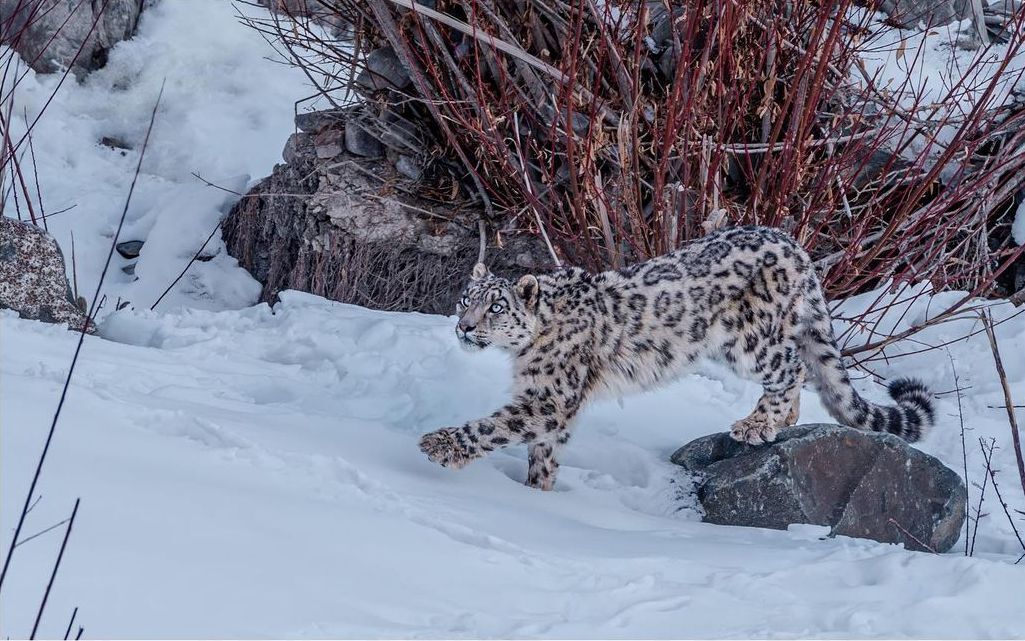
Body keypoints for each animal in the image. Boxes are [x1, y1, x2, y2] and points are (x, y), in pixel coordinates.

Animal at [418, 224, 938, 490]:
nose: (464, 327)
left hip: (748, 340)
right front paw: (536, 492)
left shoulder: (547, 399)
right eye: (466, 299)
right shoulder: (553, 406)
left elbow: (495, 425)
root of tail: (793, 244)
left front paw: (440, 446)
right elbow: (543, 453)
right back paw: (781, 420)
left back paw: (757, 424)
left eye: (496, 307)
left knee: (789, 366)